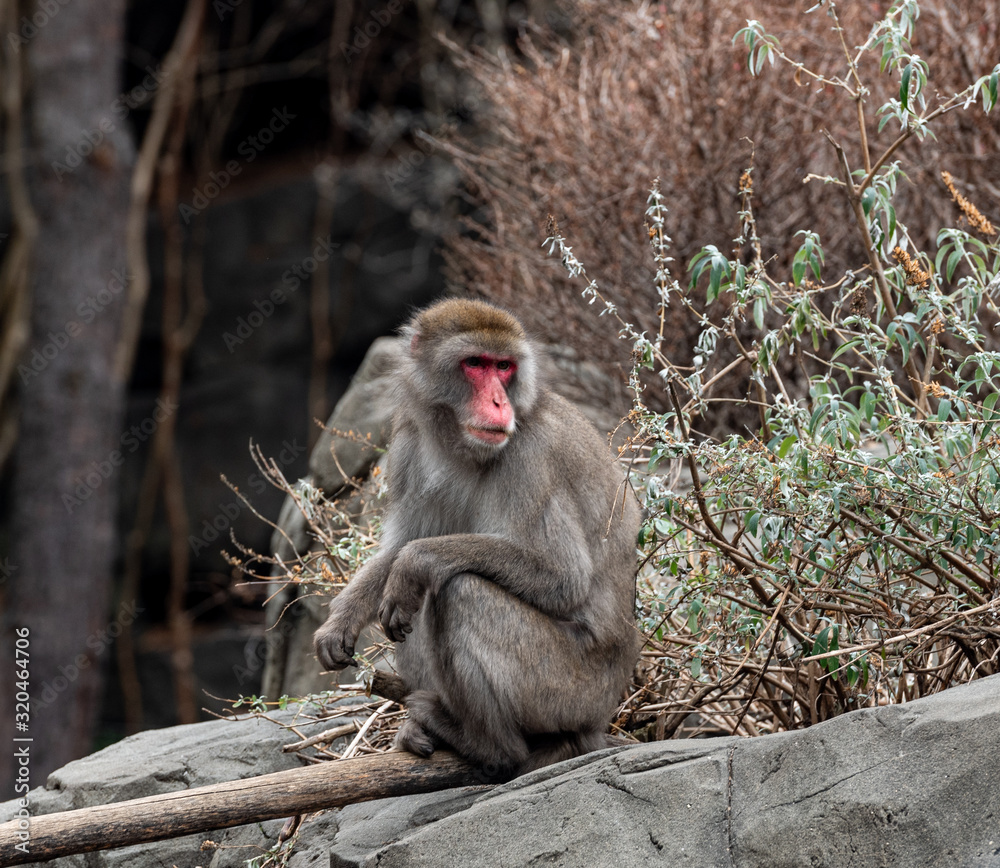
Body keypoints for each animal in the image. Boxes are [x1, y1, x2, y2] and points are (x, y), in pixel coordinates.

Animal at [314, 298, 640, 779]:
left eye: (504, 367)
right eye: (475, 364)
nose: (499, 401)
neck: (460, 446)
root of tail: (602, 717)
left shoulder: (530, 456)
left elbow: (562, 577)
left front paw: (416, 562)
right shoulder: (408, 444)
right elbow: (397, 549)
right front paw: (341, 620)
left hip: (569, 691)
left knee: (459, 591)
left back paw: (491, 748)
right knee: (417, 606)